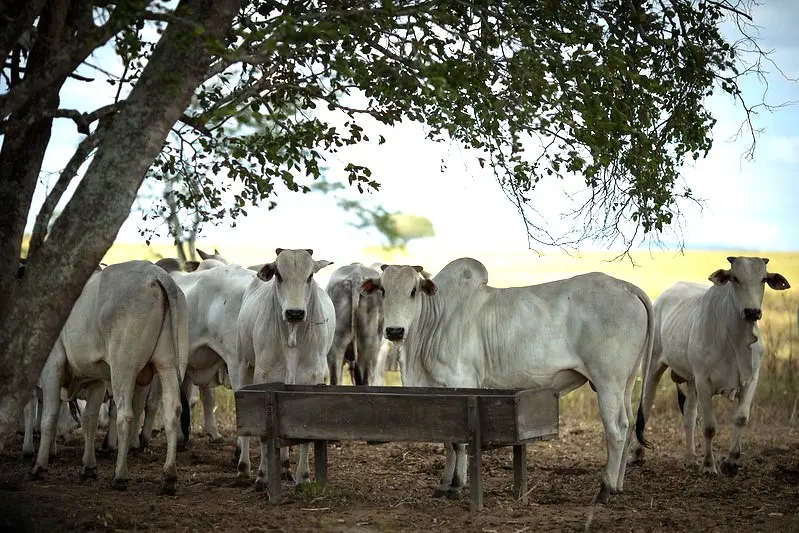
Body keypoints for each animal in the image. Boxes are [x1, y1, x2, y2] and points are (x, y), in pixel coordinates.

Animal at [28, 260, 192, 492]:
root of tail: (158, 276)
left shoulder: (53, 366)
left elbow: (49, 417)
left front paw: (39, 466)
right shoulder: (96, 378)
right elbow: (89, 419)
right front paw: (88, 467)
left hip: (124, 367)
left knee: (125, 416)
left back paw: (120, 475)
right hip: (169, 365)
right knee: (173, 412)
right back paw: (168, 476)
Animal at [233, 247, 336, 488]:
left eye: (310, 276)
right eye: (278, 275)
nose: (294, 313)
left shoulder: (311, 380)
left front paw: (303, 478)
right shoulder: (263, 379)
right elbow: (263, 432)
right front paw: (262, 476)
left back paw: (285, 468)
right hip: (242, 364)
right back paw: (243, 468)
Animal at [362, 258, 656, 502]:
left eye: (413, 291)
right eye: (383, 290)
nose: (395, 331)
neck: (436, 320)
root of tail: (626, 286)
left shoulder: (462, 382)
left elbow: (458, 441)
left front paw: (456, 486)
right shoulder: (440, 392)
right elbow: (447, 439)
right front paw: (444, 484)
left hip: (608, 382)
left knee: (616, 429)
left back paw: (605, 489)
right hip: (626, 382)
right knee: (629, 424)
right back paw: (618, 486)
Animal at [636, 256, 792, 474]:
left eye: (763, 279)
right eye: (734, 278)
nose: (752, 312)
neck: (736, 340)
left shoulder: (751, 379)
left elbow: (741, 418)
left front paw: (731, 461)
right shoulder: (703, 381)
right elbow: (709, 427)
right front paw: (709, 465)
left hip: (690, 379)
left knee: (689, 415)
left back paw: (690, 458)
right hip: (652, 367)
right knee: (646, 406)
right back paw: (637, 454)